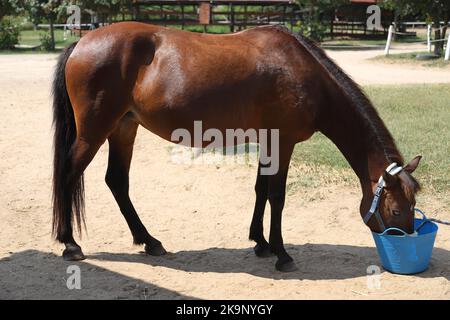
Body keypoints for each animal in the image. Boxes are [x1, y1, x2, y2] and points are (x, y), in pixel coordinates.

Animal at [52, 21, 422, 272]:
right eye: (394, 210)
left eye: (412, 206)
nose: (405, 240)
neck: (304, 72)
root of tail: (82, 42)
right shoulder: (283, 141)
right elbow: (277, 196)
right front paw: (282, 253)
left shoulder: (268, 140)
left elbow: (260, 189)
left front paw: (260, 243)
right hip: (94, 132)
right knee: (68, 175)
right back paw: (70, 244)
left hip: (124, 128)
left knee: (117, 181)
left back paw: (151, 242)